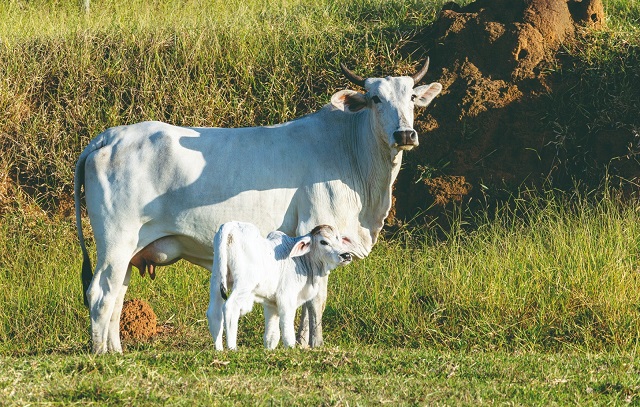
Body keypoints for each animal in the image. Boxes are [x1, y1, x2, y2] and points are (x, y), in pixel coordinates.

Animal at [206, 223, 352, 350]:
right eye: (323, 242)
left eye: (339, 239)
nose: (346, 255)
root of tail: (230, 226)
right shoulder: (286, 299)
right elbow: (287, 330)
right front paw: (291, 349)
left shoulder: (271, 304)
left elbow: (272, 336)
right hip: (244, 283)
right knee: (230, 308)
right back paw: (232, 348)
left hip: (217, 280)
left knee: (214, 313)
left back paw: (219, 350)